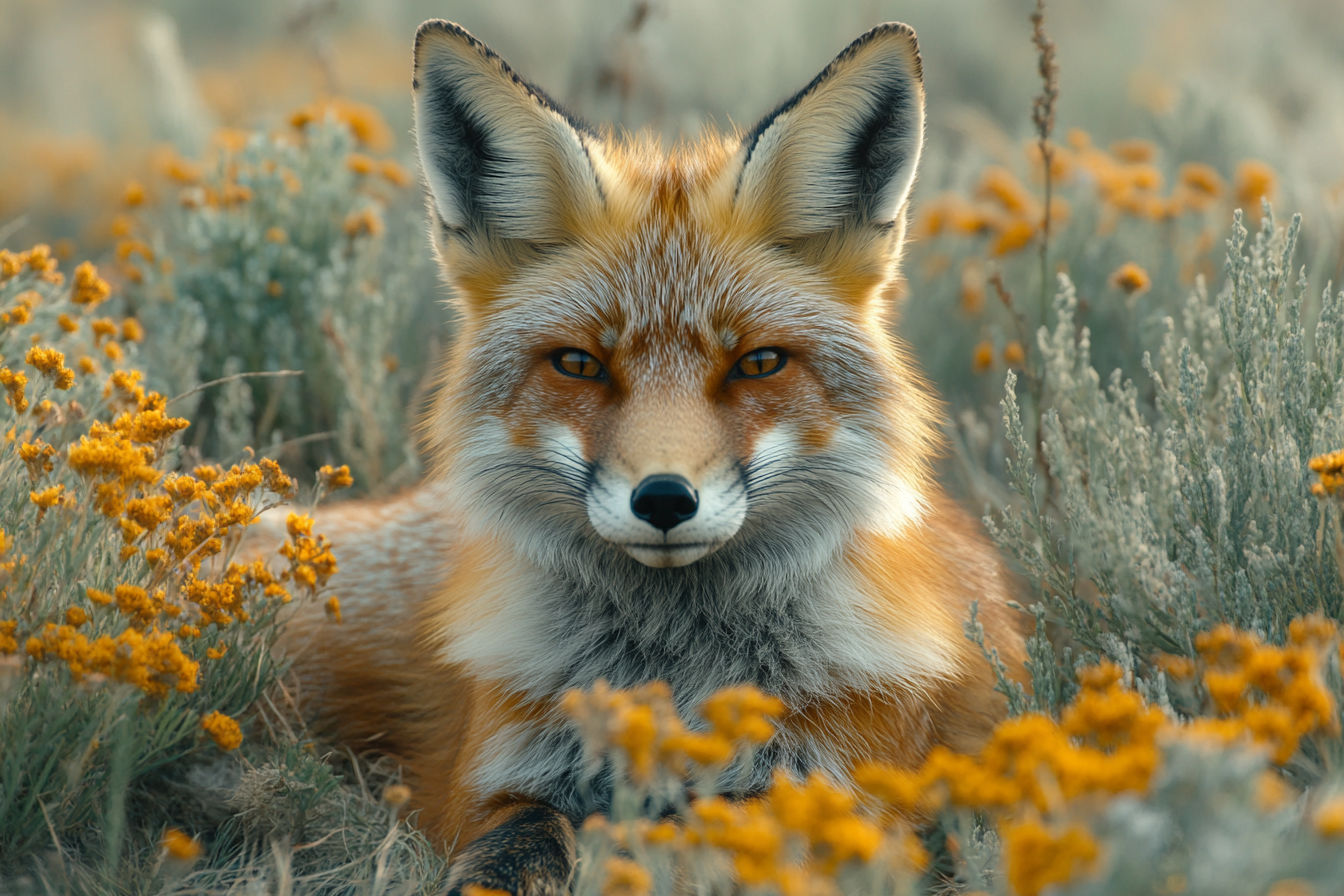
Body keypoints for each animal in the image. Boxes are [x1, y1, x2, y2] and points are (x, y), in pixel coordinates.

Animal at [266, 18, 1028, 896]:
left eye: (759, 364)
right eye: (579, 364)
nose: (664, 500)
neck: (674, 674)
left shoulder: (843, 798)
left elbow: (712, 844)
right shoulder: (495, 782)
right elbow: (517, 848)